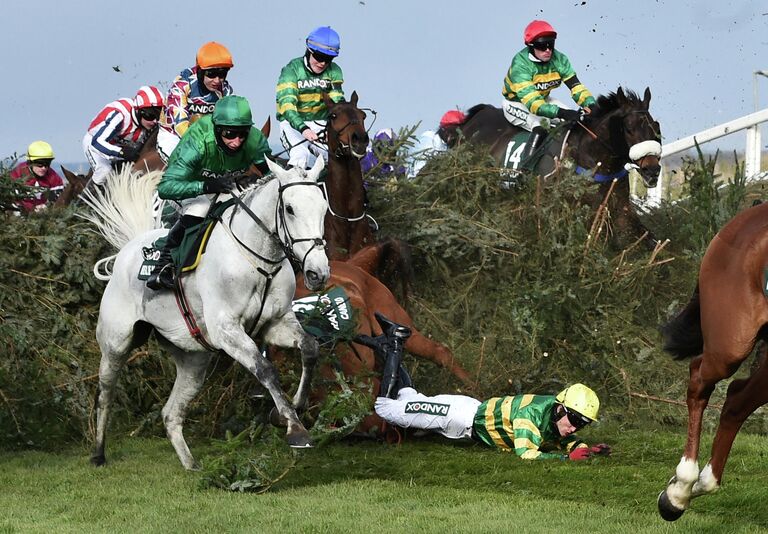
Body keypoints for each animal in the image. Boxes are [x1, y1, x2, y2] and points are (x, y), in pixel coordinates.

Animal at [84, 158, 330, 468]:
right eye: (290, 208)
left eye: (323, 207)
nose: (318, 273)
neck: (258, 260)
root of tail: (128, 250)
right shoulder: (226, 330)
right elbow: (266, 370)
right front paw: (295, 428)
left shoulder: (275, 323)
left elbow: (309, 348)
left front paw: (291, 408)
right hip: (115, 344)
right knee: (105, 393)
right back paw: (98, 453)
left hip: (193, 359)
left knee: (171, 412)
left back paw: (191, 464)